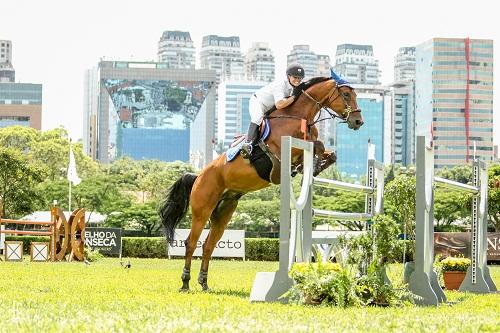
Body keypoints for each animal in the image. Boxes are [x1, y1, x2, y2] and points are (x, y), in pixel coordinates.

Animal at [159, 76, 364, 290]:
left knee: (208, 244)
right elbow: (319, 145)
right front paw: (313, 165)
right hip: (202, 210)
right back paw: (185, 283)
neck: (297, 116)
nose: (358, 121)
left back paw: (204, 283)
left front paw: (315, 167)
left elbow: (328, 152)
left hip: (224, 211)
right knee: (191, 242)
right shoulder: (283, 151)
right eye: (346, 94)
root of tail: (198, 177)